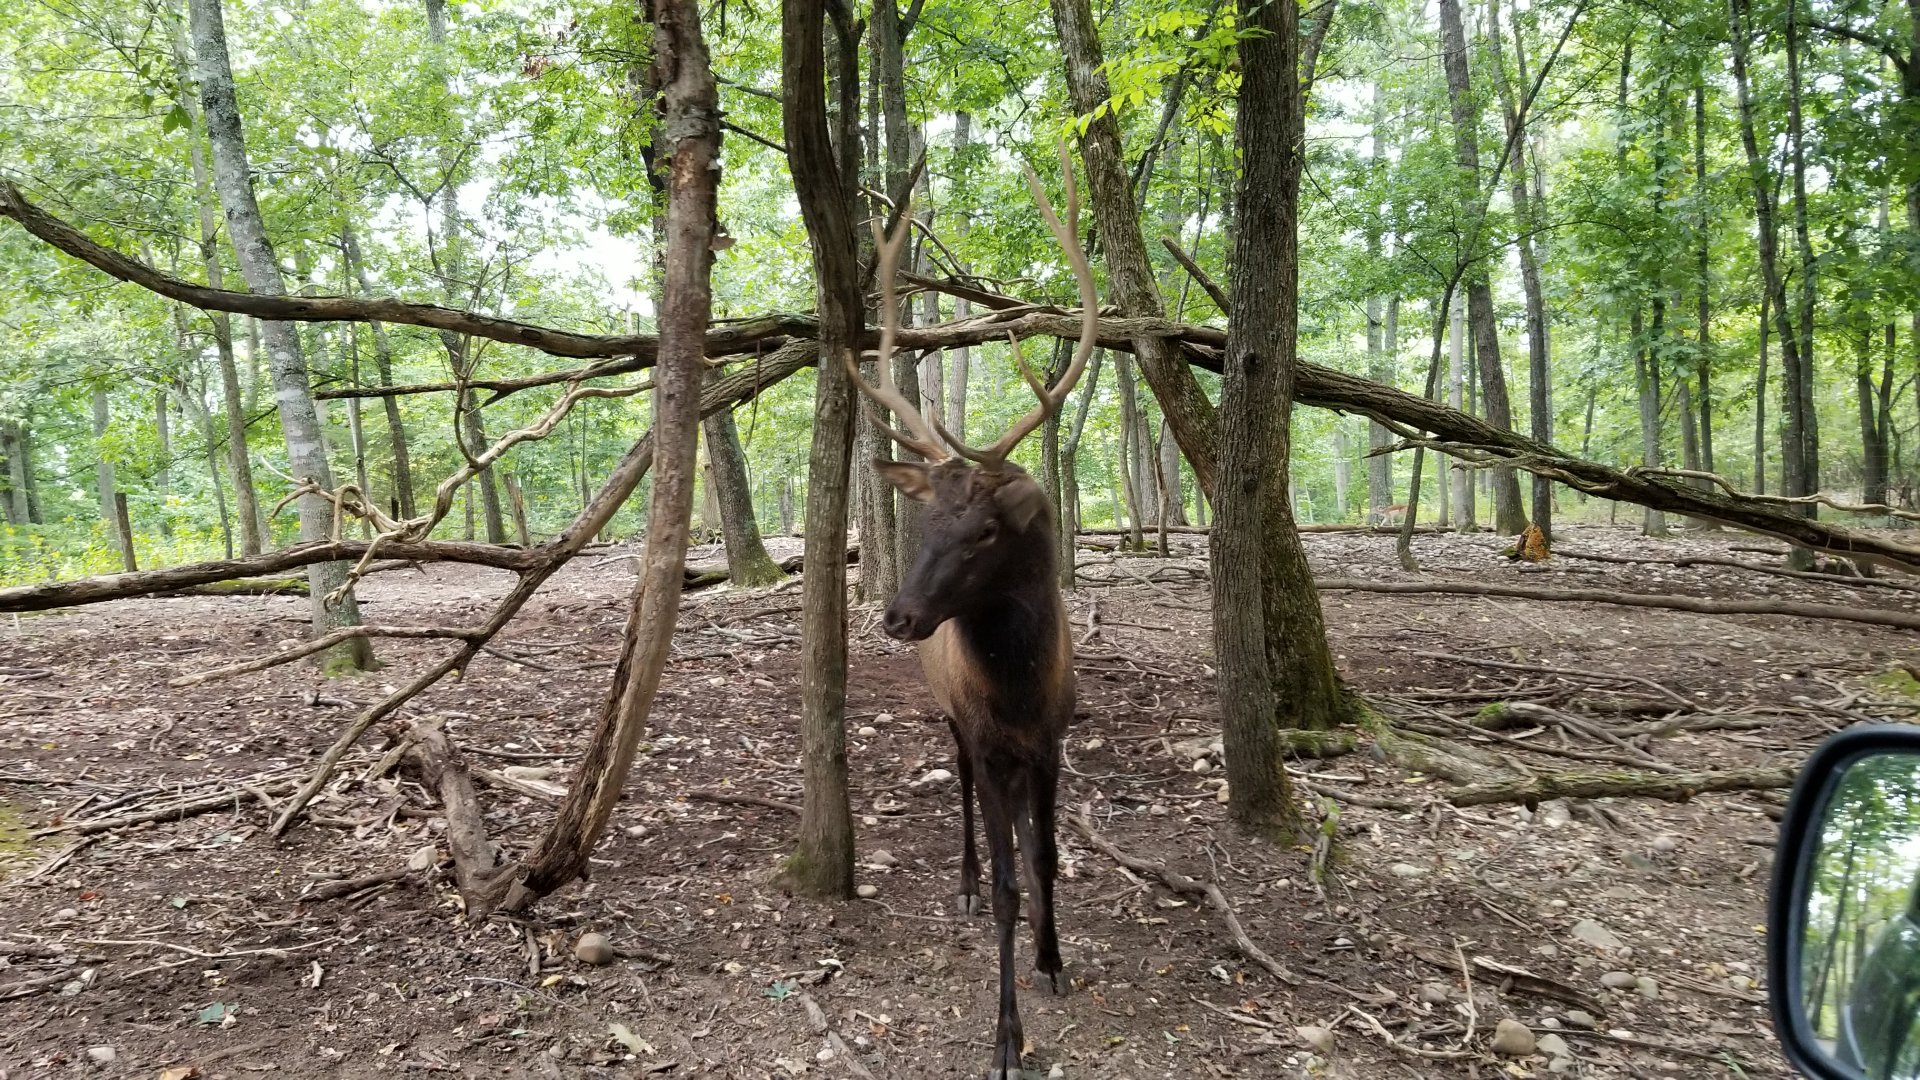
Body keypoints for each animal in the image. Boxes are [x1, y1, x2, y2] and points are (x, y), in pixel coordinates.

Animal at [845, 145, 1098, 1080]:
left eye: (987, 529)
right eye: (925, 521)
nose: (898, 616)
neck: (1020, 690)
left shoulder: (1054, 739)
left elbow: (1047, 857)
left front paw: (1055, 960)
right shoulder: (987, 740)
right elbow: (1006, 880)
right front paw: (1006, 1038)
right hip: (951, 724)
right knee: (960, 799)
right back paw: (957, 879)